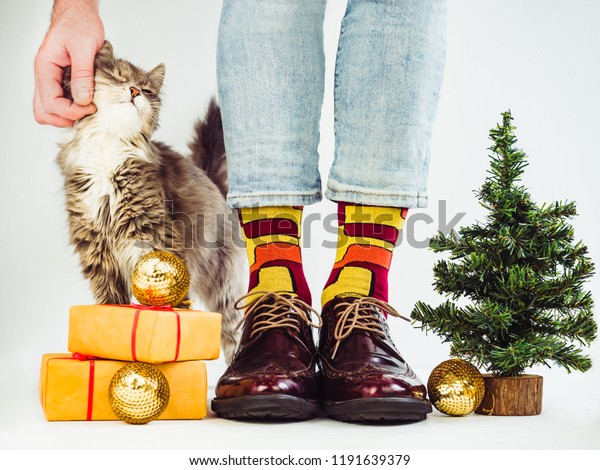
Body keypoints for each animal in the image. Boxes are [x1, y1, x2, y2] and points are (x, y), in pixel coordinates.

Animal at [55, 41, 244, 364]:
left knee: (235, 332)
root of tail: (214, 185)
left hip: (225, 286)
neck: (108, 147)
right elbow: (110, 300)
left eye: (146, 89)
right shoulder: (97, 247)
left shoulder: (152, 232)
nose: (134, 91)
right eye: (119, 77)